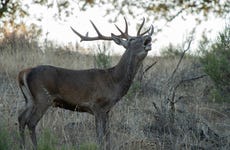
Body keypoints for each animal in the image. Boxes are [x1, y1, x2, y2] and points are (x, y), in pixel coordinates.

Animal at [18, 17, 154, 149]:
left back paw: (22, 146)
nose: (148, 37)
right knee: (31, 122)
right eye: (132, 39)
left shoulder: (107, 110)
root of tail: (25, 72)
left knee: (21, 119)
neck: (114, 81)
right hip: (43, 97)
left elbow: (108, 136)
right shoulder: (97, 106)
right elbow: (100, 137)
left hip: (30, 99)